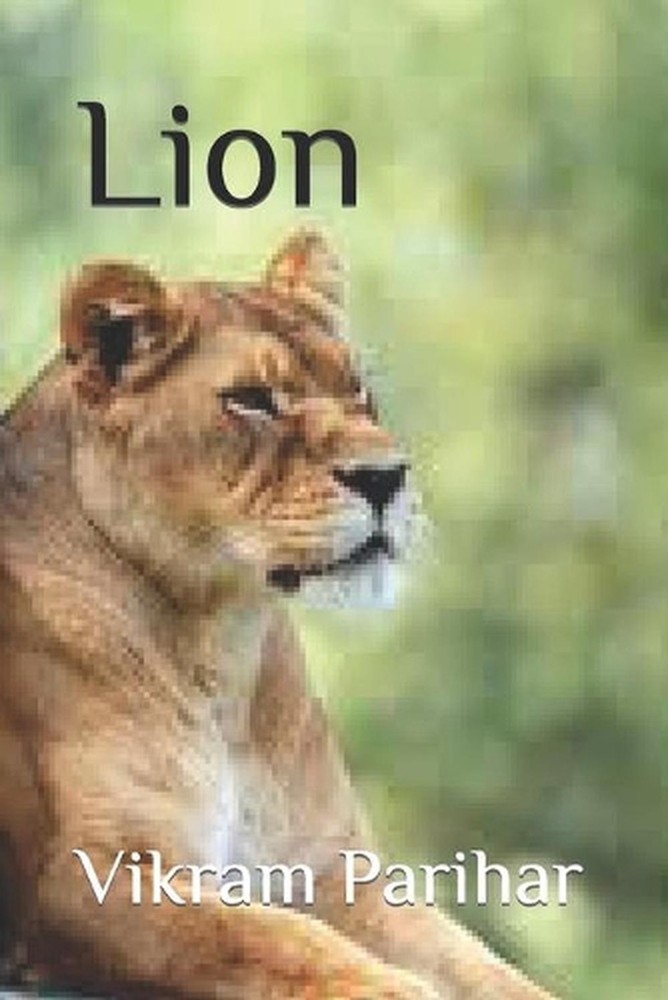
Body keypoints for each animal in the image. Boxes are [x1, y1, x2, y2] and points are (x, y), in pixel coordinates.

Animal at [0, 231, 554, 999]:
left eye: (360, 390)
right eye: (252, 401)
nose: (387, 477)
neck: (219, 641)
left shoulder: (333, 871)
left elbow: (481, 964)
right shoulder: (83, 880)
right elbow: (281, 940)